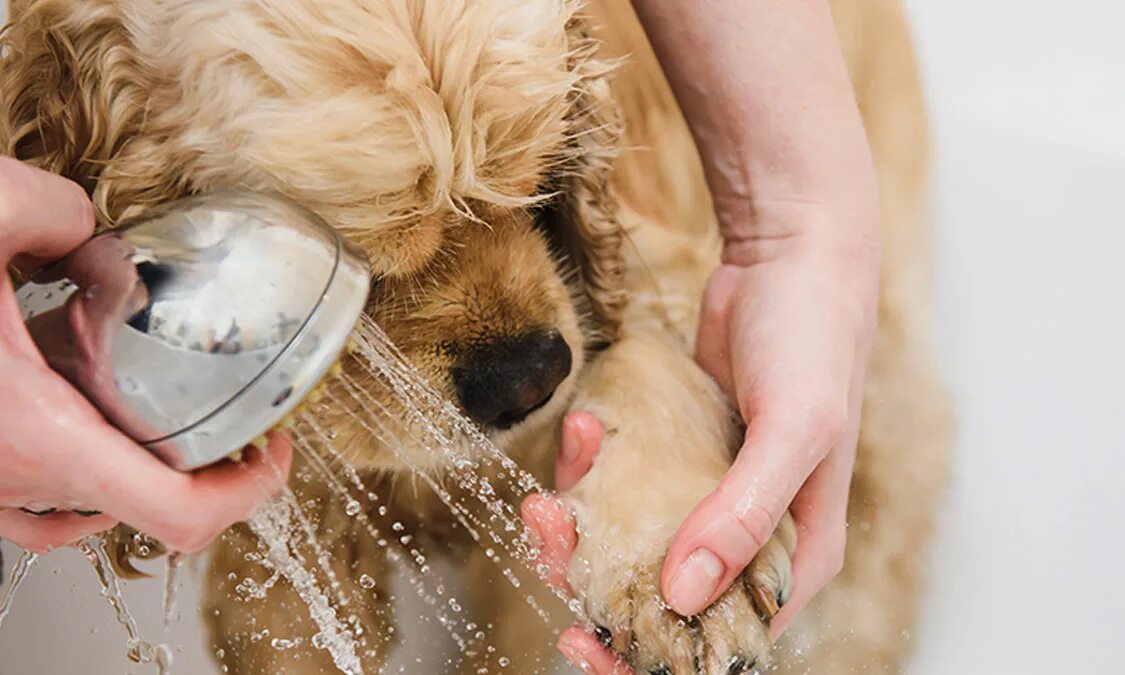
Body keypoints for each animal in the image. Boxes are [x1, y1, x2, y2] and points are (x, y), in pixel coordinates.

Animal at [0, 0, 954, 670]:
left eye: (537, 179)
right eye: (361, 261)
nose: (530, 376)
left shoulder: (652, 269)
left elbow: (649, 358)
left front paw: (675, 578)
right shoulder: (280, 556)